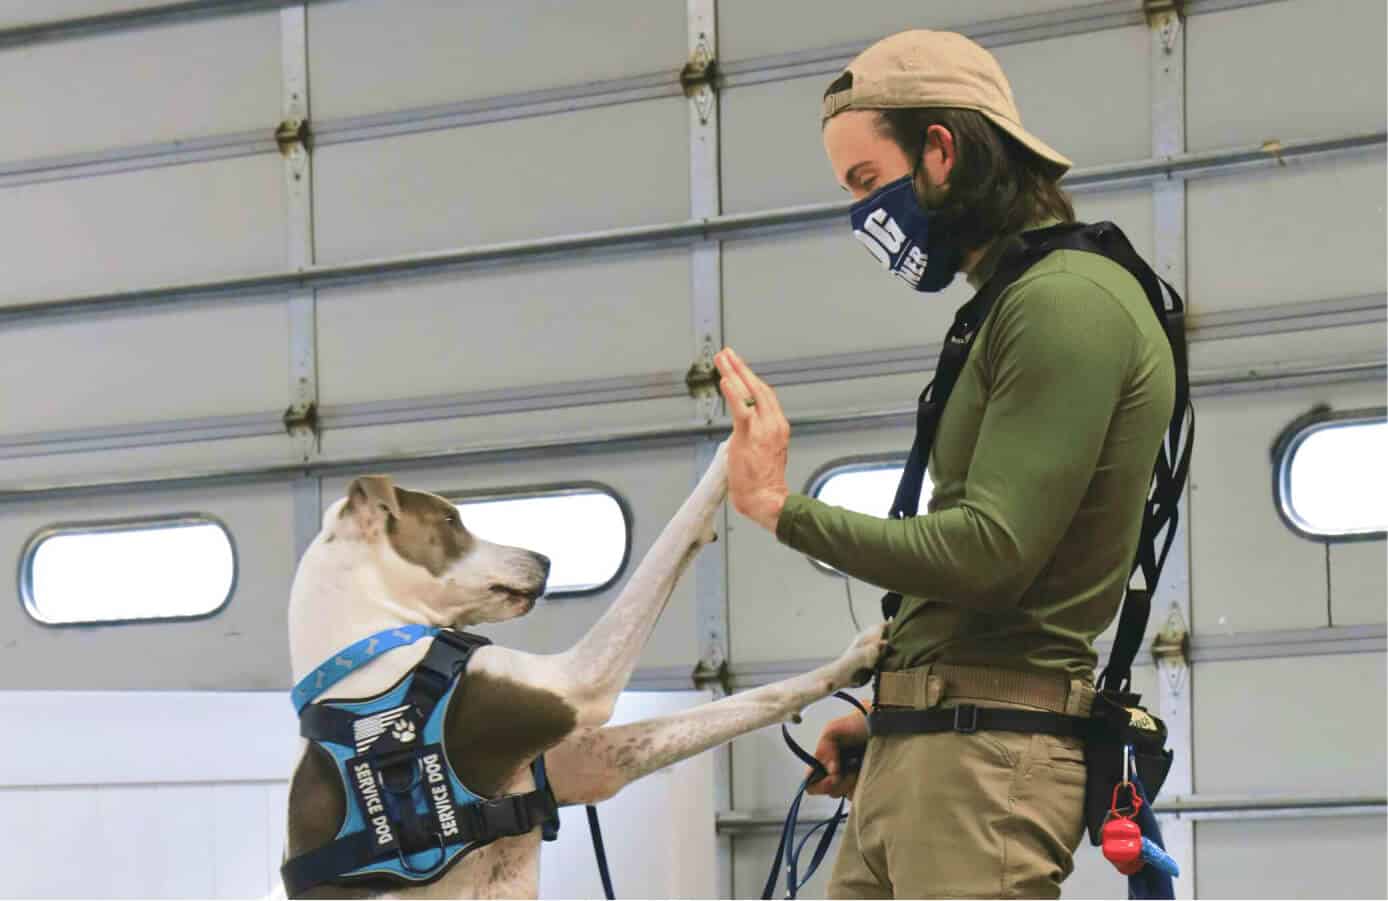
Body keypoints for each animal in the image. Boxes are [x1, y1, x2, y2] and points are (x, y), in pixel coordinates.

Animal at [285, 444, 882, 899]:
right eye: (452, 520)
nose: (545, 560)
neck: (377, 647)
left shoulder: (588, 764)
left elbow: (748, 700)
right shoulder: (579, 682)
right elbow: (666, 547)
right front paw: (737, 445)